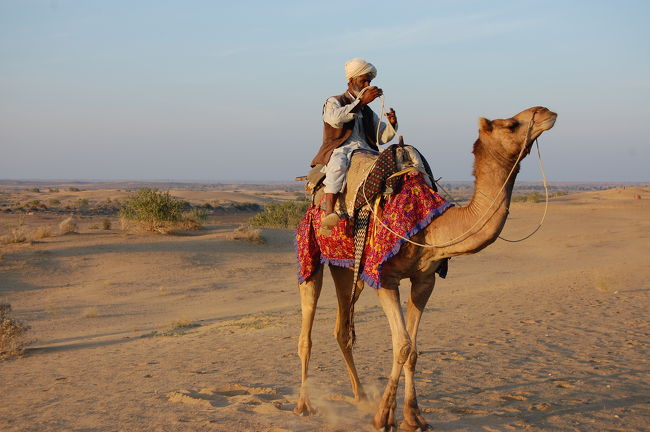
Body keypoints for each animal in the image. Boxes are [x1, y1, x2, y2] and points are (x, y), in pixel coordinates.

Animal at [294, 106, 556, 430]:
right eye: (511, 125)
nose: (545, 112)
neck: (433, 224)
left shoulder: (425, 280)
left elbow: (414, 351)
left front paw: (413, 417)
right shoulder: (385, 278)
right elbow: (402, 345)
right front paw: (383, 417)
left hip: (347, 268)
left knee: (342, 328)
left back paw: (361, 397)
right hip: (310, 251)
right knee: (307, 328)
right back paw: (304, 404)